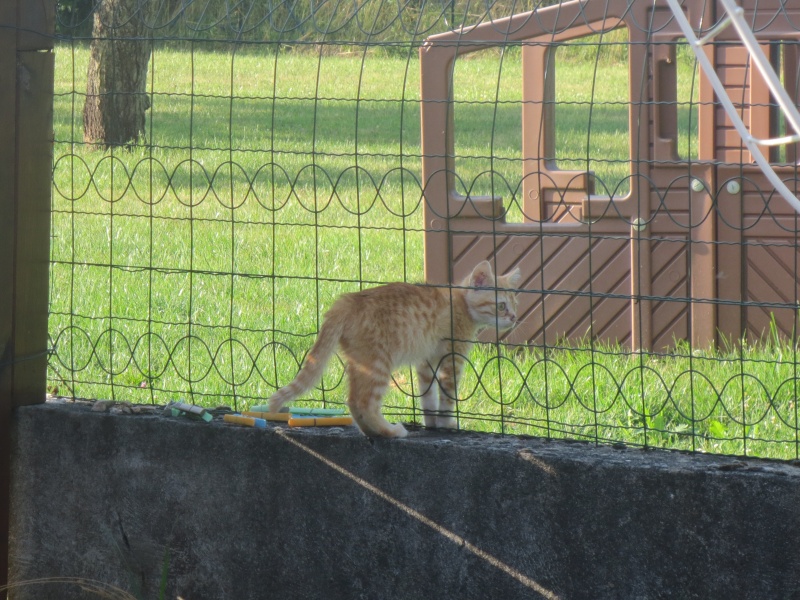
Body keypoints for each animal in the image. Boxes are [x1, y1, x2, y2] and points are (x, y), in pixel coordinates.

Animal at [268, 260, 520, 438]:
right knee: (364, 402)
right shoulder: (453, 359)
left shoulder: (426, 361)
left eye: (515, 304)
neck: (460, 302)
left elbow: (428, 396)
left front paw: (432, 424)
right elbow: (448, 397)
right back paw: (390, 431)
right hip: (378, 362)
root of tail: (348, 301)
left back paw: (372, 432)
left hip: (360, 361)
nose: (514, 318)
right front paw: (446, 423)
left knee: (353, 401)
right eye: (501, 306)